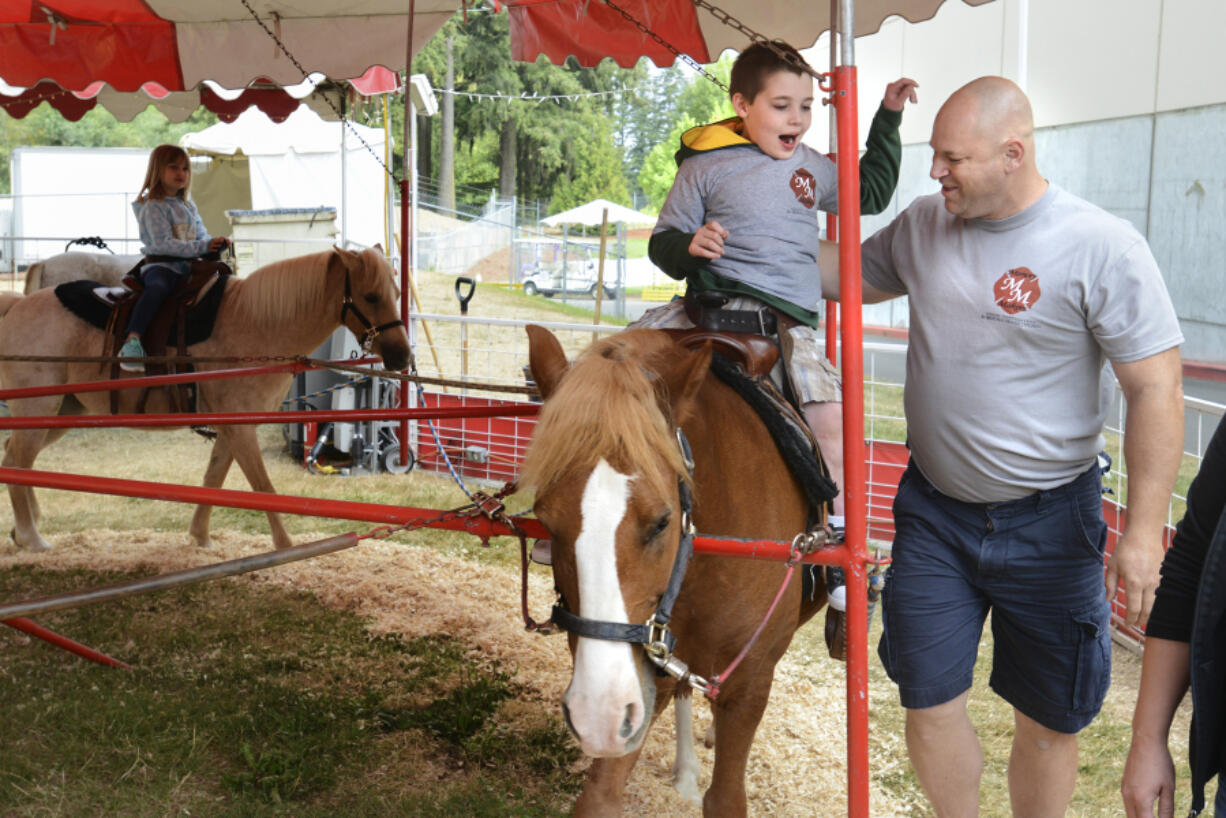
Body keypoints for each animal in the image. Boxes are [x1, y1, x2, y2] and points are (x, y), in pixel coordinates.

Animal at [0, 246, 411, 554]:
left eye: (396, 293)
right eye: (371, 296)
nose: (402, 356)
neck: (258, 326)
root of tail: (16, 306)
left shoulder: (234, 427)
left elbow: (214, 477)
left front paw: (200, 537)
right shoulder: (241, 429)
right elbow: (262, 487)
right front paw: (286, 546)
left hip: (61, 413)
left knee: (16, 458)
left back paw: (25, 529)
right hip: (39, 410)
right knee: (18, 459)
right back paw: (32, 538)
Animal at [522, 323, 828, 814]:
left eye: (662, 521)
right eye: (546, 522)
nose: (595, 714)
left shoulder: (749, 686)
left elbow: (726, 798)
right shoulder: (635, 683)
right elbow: (599, 796)